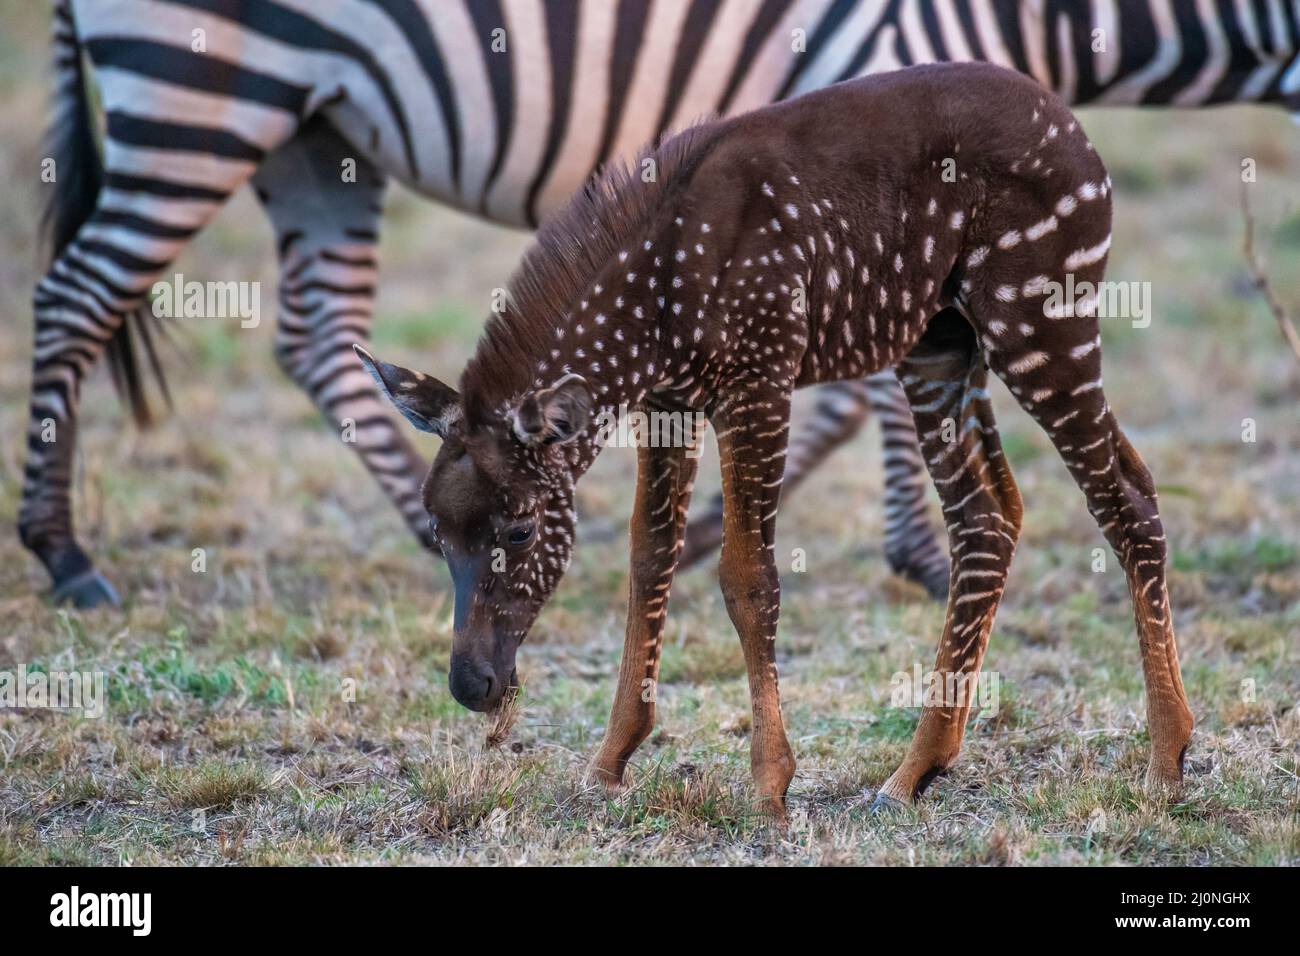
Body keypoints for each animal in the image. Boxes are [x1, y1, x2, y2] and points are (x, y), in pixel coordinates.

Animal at [20, 1, 1300, 606]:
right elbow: (872, 387)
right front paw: (920, 553)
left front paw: (711, 531)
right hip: (204, 93)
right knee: (75, 296)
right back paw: (65, 553)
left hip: (317, 133)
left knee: (314, 333)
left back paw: (429, 530)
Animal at [361, 63, 1190, 816]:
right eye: (437, 531)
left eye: (521, 530)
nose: (471, 685)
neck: (650, 312)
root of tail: (1077, 133)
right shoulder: (671, 403)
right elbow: (648, 557)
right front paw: (611, 758)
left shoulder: (759, 379)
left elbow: (747, 577)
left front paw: (769, 781)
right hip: (940, 345)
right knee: (989, 519)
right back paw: (917, 768)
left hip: (1040, 319)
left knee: (1125, 498)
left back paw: (1167, 757)